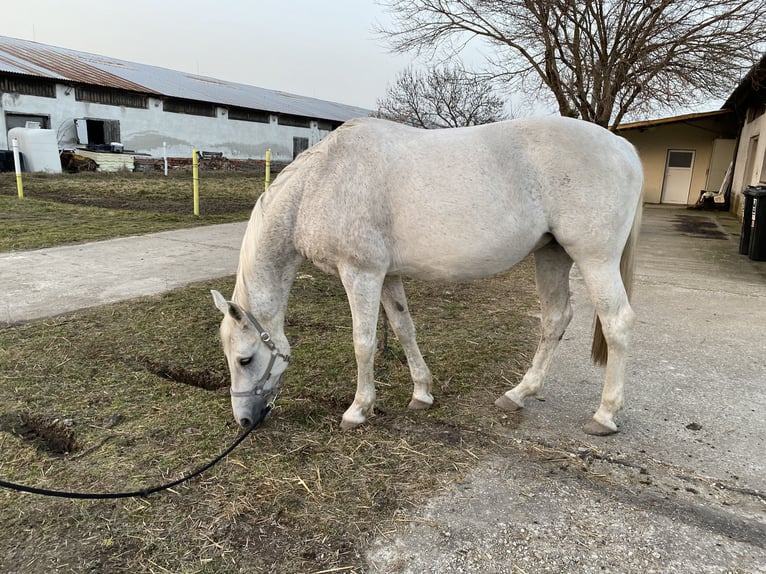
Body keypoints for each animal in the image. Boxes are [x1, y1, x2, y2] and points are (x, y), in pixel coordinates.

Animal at [213, 117, 644, 436]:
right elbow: (404, 329)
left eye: (245, 358)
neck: (320, 183)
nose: (245, 420)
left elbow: (363, 342)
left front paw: (358, 409)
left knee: (617, 322)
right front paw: (422, 393)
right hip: (552, 255)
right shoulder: (387, 276)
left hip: (594, 258)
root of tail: (624, 148)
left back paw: (604, 415)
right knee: (555, 319)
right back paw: (519, 393)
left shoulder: (360, 274)